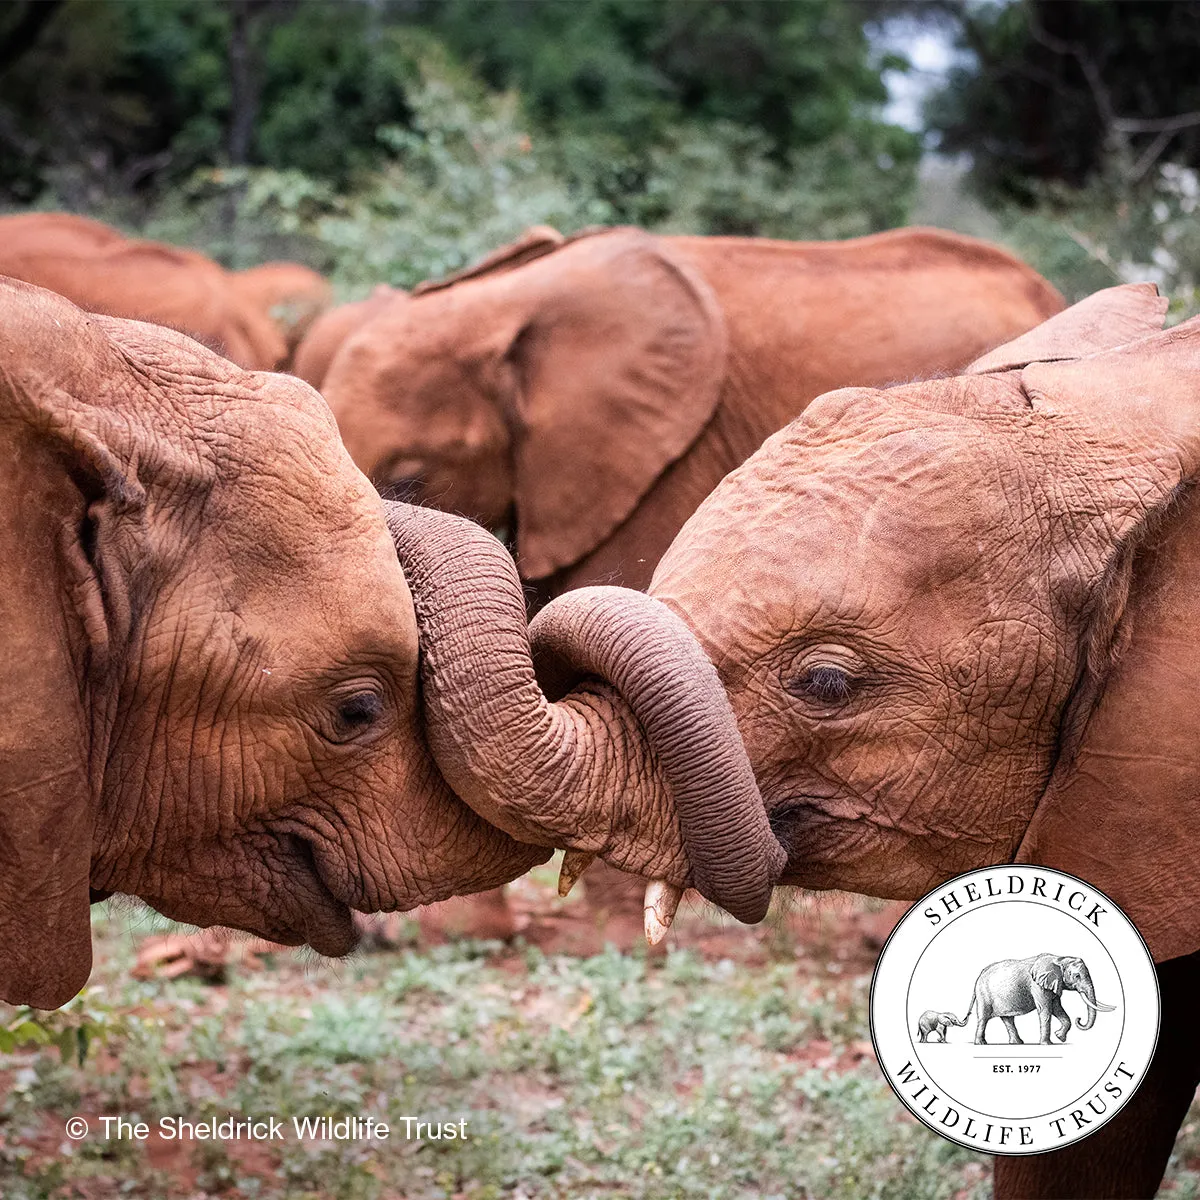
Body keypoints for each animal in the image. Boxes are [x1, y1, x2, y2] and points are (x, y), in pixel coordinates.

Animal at [964, 950, 1113, 1046]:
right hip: (983, 994)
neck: (1059, 959)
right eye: (1077, 976)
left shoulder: (1053, 984)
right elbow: (1046, 1010)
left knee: (1007, 1019)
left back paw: (1017, 1043)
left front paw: (1060, 1037)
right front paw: (1047, 1044)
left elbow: (1057, 1008)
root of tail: (980, 974)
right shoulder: (1037, 985)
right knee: (983, 1017)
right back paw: (981, 1043)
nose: (1079, 1019)